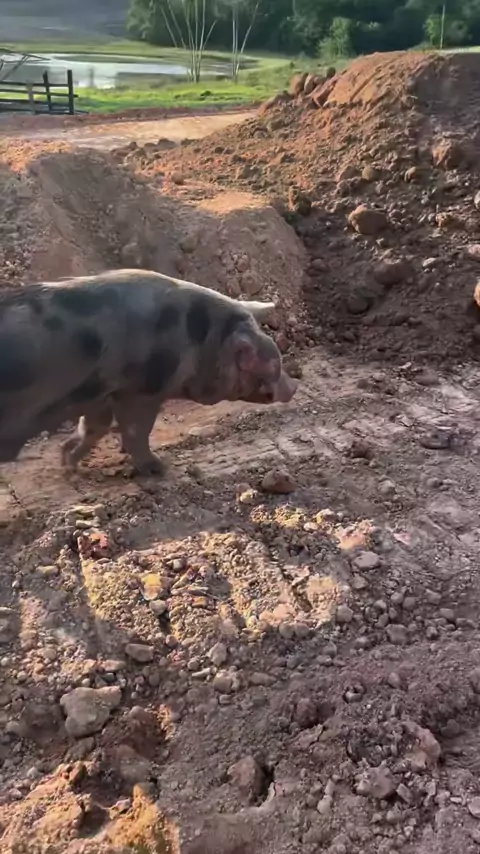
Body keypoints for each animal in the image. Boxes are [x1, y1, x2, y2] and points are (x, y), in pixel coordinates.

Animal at [0, 269, 298, 474]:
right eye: (273, 363)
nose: (294, 385)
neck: (196, 339)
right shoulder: (142, 390)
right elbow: (137, 429)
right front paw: (161, 468)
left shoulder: (99, 392)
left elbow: (93, 427)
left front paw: (68, 463)